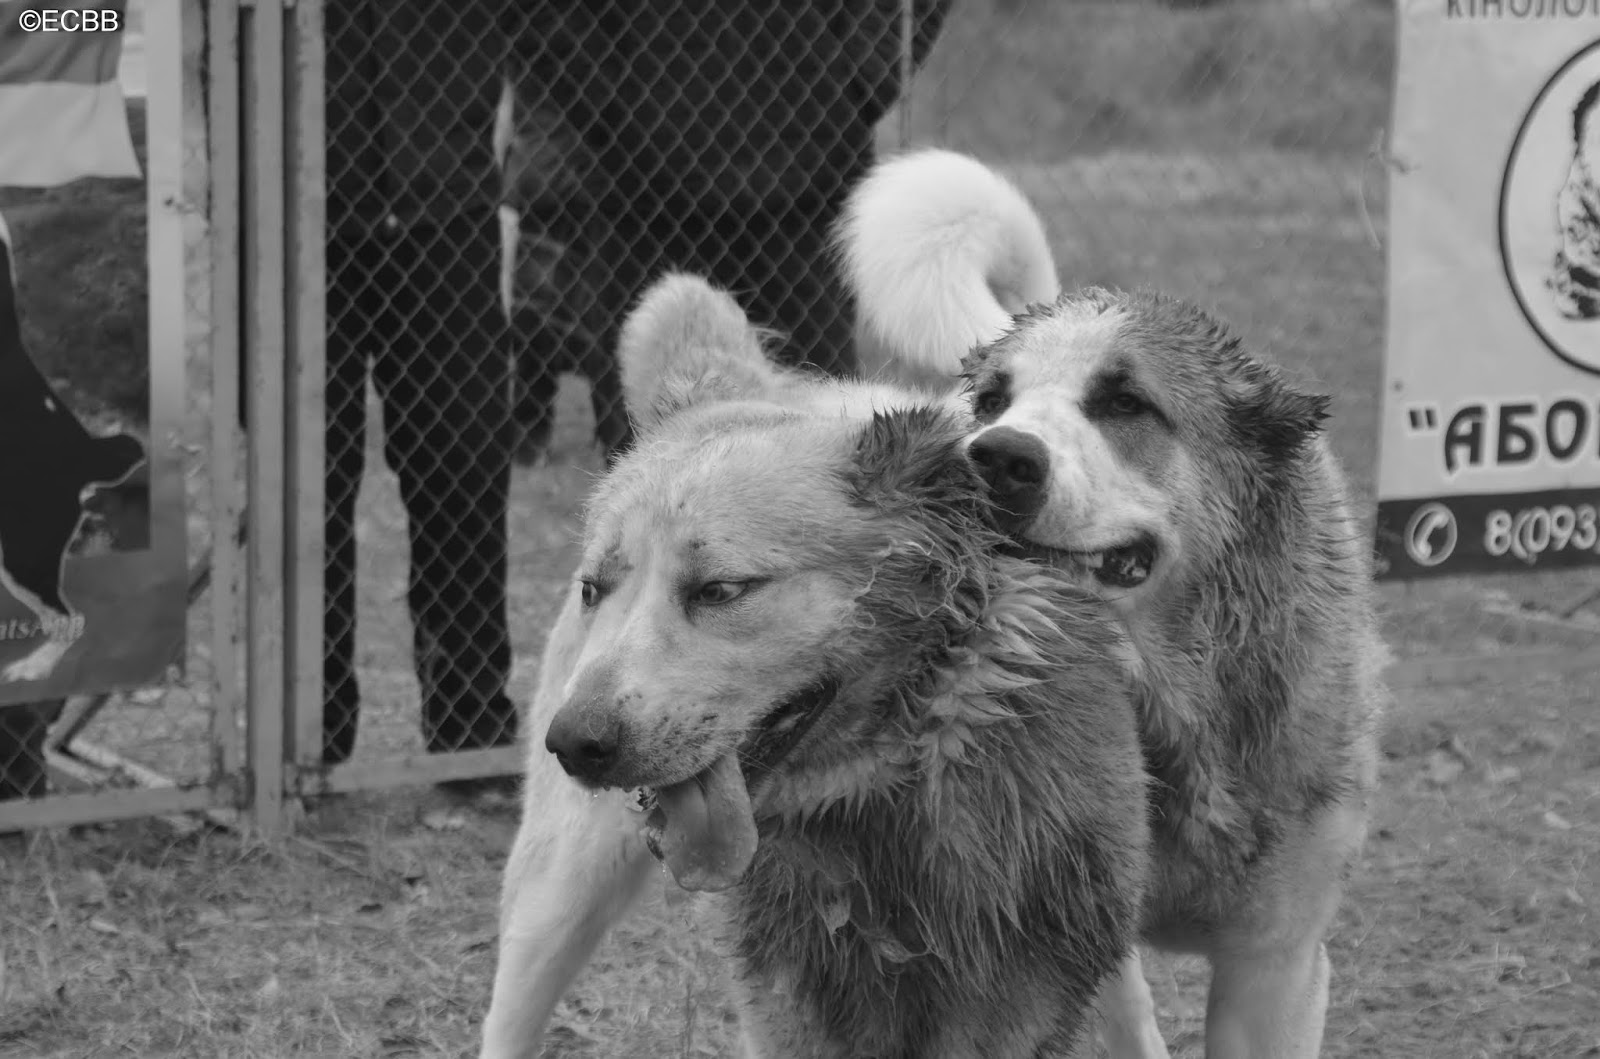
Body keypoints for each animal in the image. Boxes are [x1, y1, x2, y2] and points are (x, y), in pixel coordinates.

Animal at [479, 272, 1153, 1057]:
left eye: (720, 590)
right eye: (595, 589)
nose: (574, 743)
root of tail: (750, 389)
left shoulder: (1027, 986)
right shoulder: (789, 1003)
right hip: (558, 893)